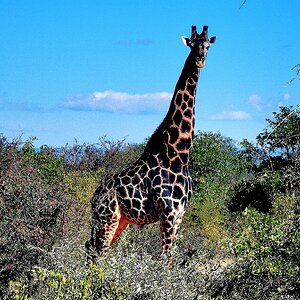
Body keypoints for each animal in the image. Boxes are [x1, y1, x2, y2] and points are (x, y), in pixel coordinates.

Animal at [86, 25, 216, 260]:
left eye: (207, 45)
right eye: (192, 45)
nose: (200, 59)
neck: (178, 152)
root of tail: (94, 196)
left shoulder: (180, 214)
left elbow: (170, 259)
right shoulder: (168, 213)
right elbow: (164, 259)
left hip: (119, 221)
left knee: (94, 250)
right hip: (106, 219)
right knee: (97, 254)